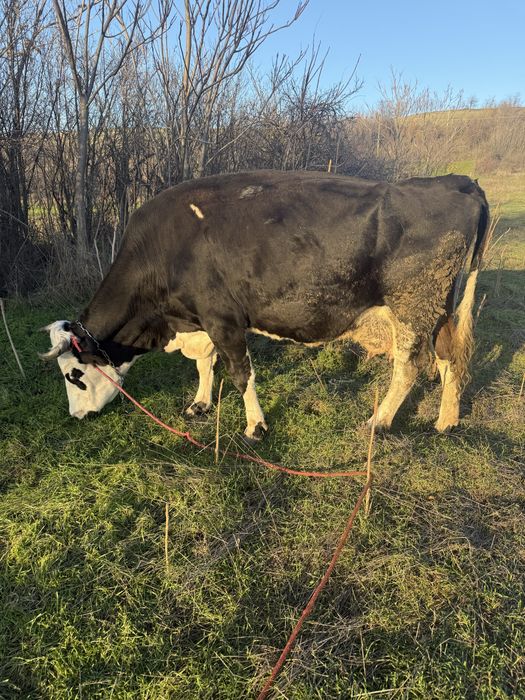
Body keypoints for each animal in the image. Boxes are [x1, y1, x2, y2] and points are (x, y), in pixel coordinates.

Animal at [40, 170, 489, 443]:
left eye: (74, 375)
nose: (76, 417)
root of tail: (454, 182)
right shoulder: (199, 321)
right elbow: (205, 365)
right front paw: (201, 402)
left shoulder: (222, 319)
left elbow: (240, 374)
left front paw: (255, 425)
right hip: (438, 309)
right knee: (448, 357)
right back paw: (446, 420)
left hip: (413, 306)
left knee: (409, 367)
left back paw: (377, 421)